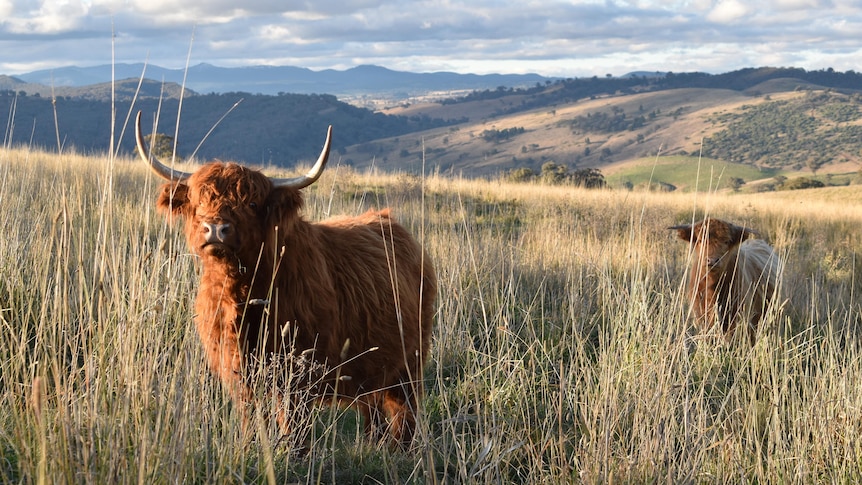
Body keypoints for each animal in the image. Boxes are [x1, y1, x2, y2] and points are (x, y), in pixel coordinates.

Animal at [139, 111, 442, 444]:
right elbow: (251, 421)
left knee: (403, 412)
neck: (244, 294)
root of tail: (389, 221)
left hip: (409, 361)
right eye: (198, 201)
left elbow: (294, 432)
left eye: (252, 204)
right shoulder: (239, 373)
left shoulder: (298, 376)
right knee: (372, 410)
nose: (216, 228)